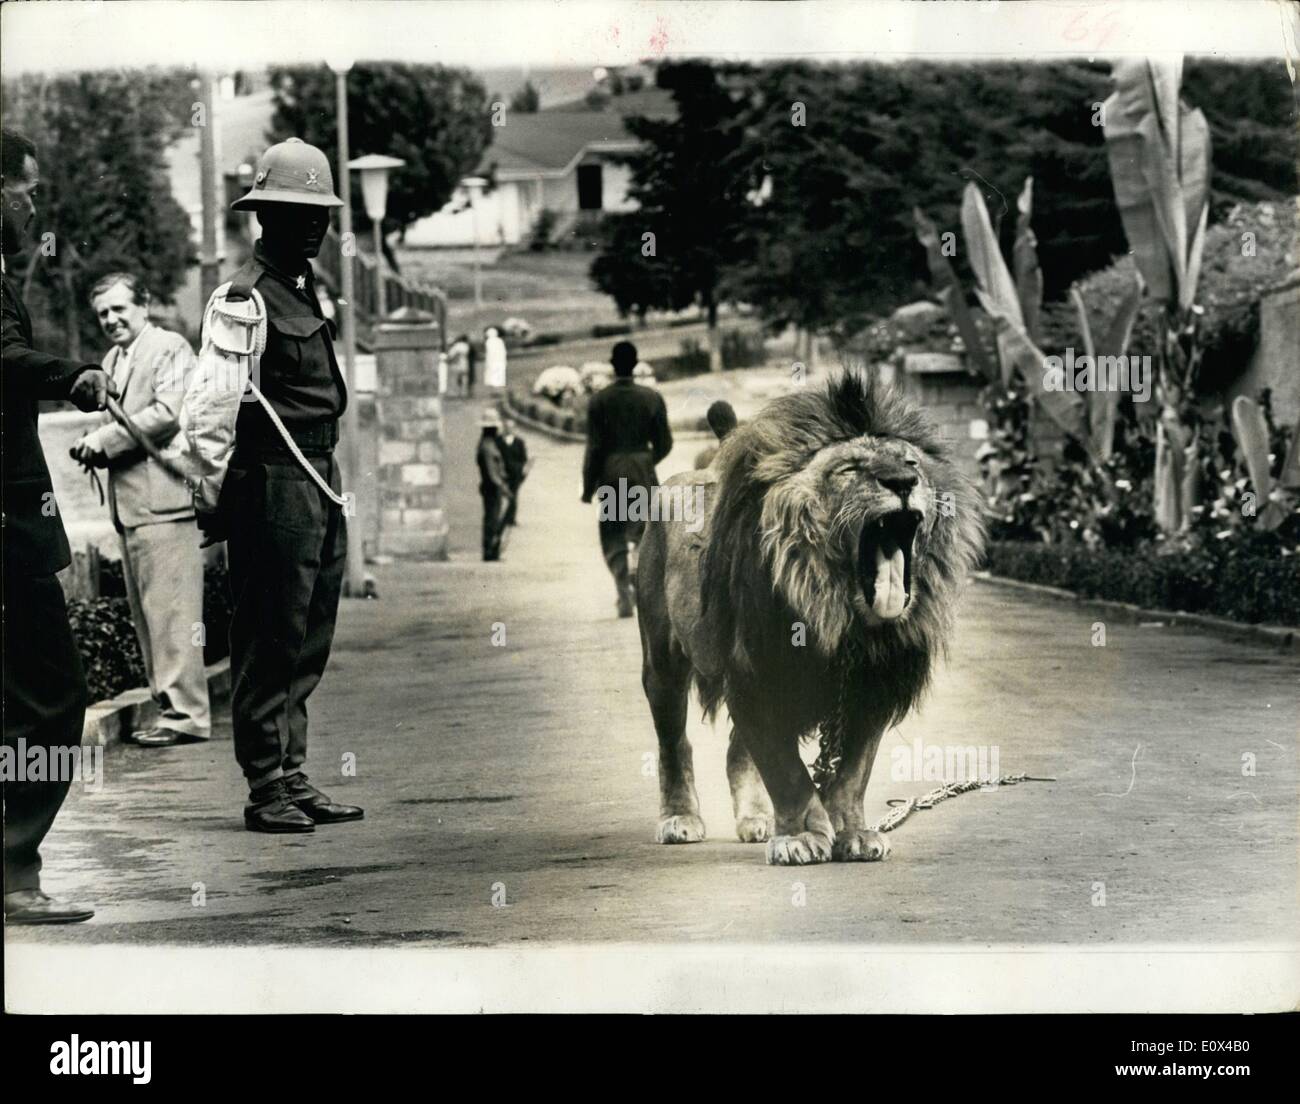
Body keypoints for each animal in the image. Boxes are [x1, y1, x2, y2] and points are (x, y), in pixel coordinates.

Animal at [631, 374, 982, 863]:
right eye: (850, 468)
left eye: (911, 462)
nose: (903, 481)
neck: (841, 616)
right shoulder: (756, 675)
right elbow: (788, 772)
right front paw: (800, 837)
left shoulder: (871, 687)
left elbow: (852, 773)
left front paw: (852, 832)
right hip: (662, 662)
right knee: (673, 743)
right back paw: (680, 818)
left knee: (737, 753)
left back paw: (756, 819)